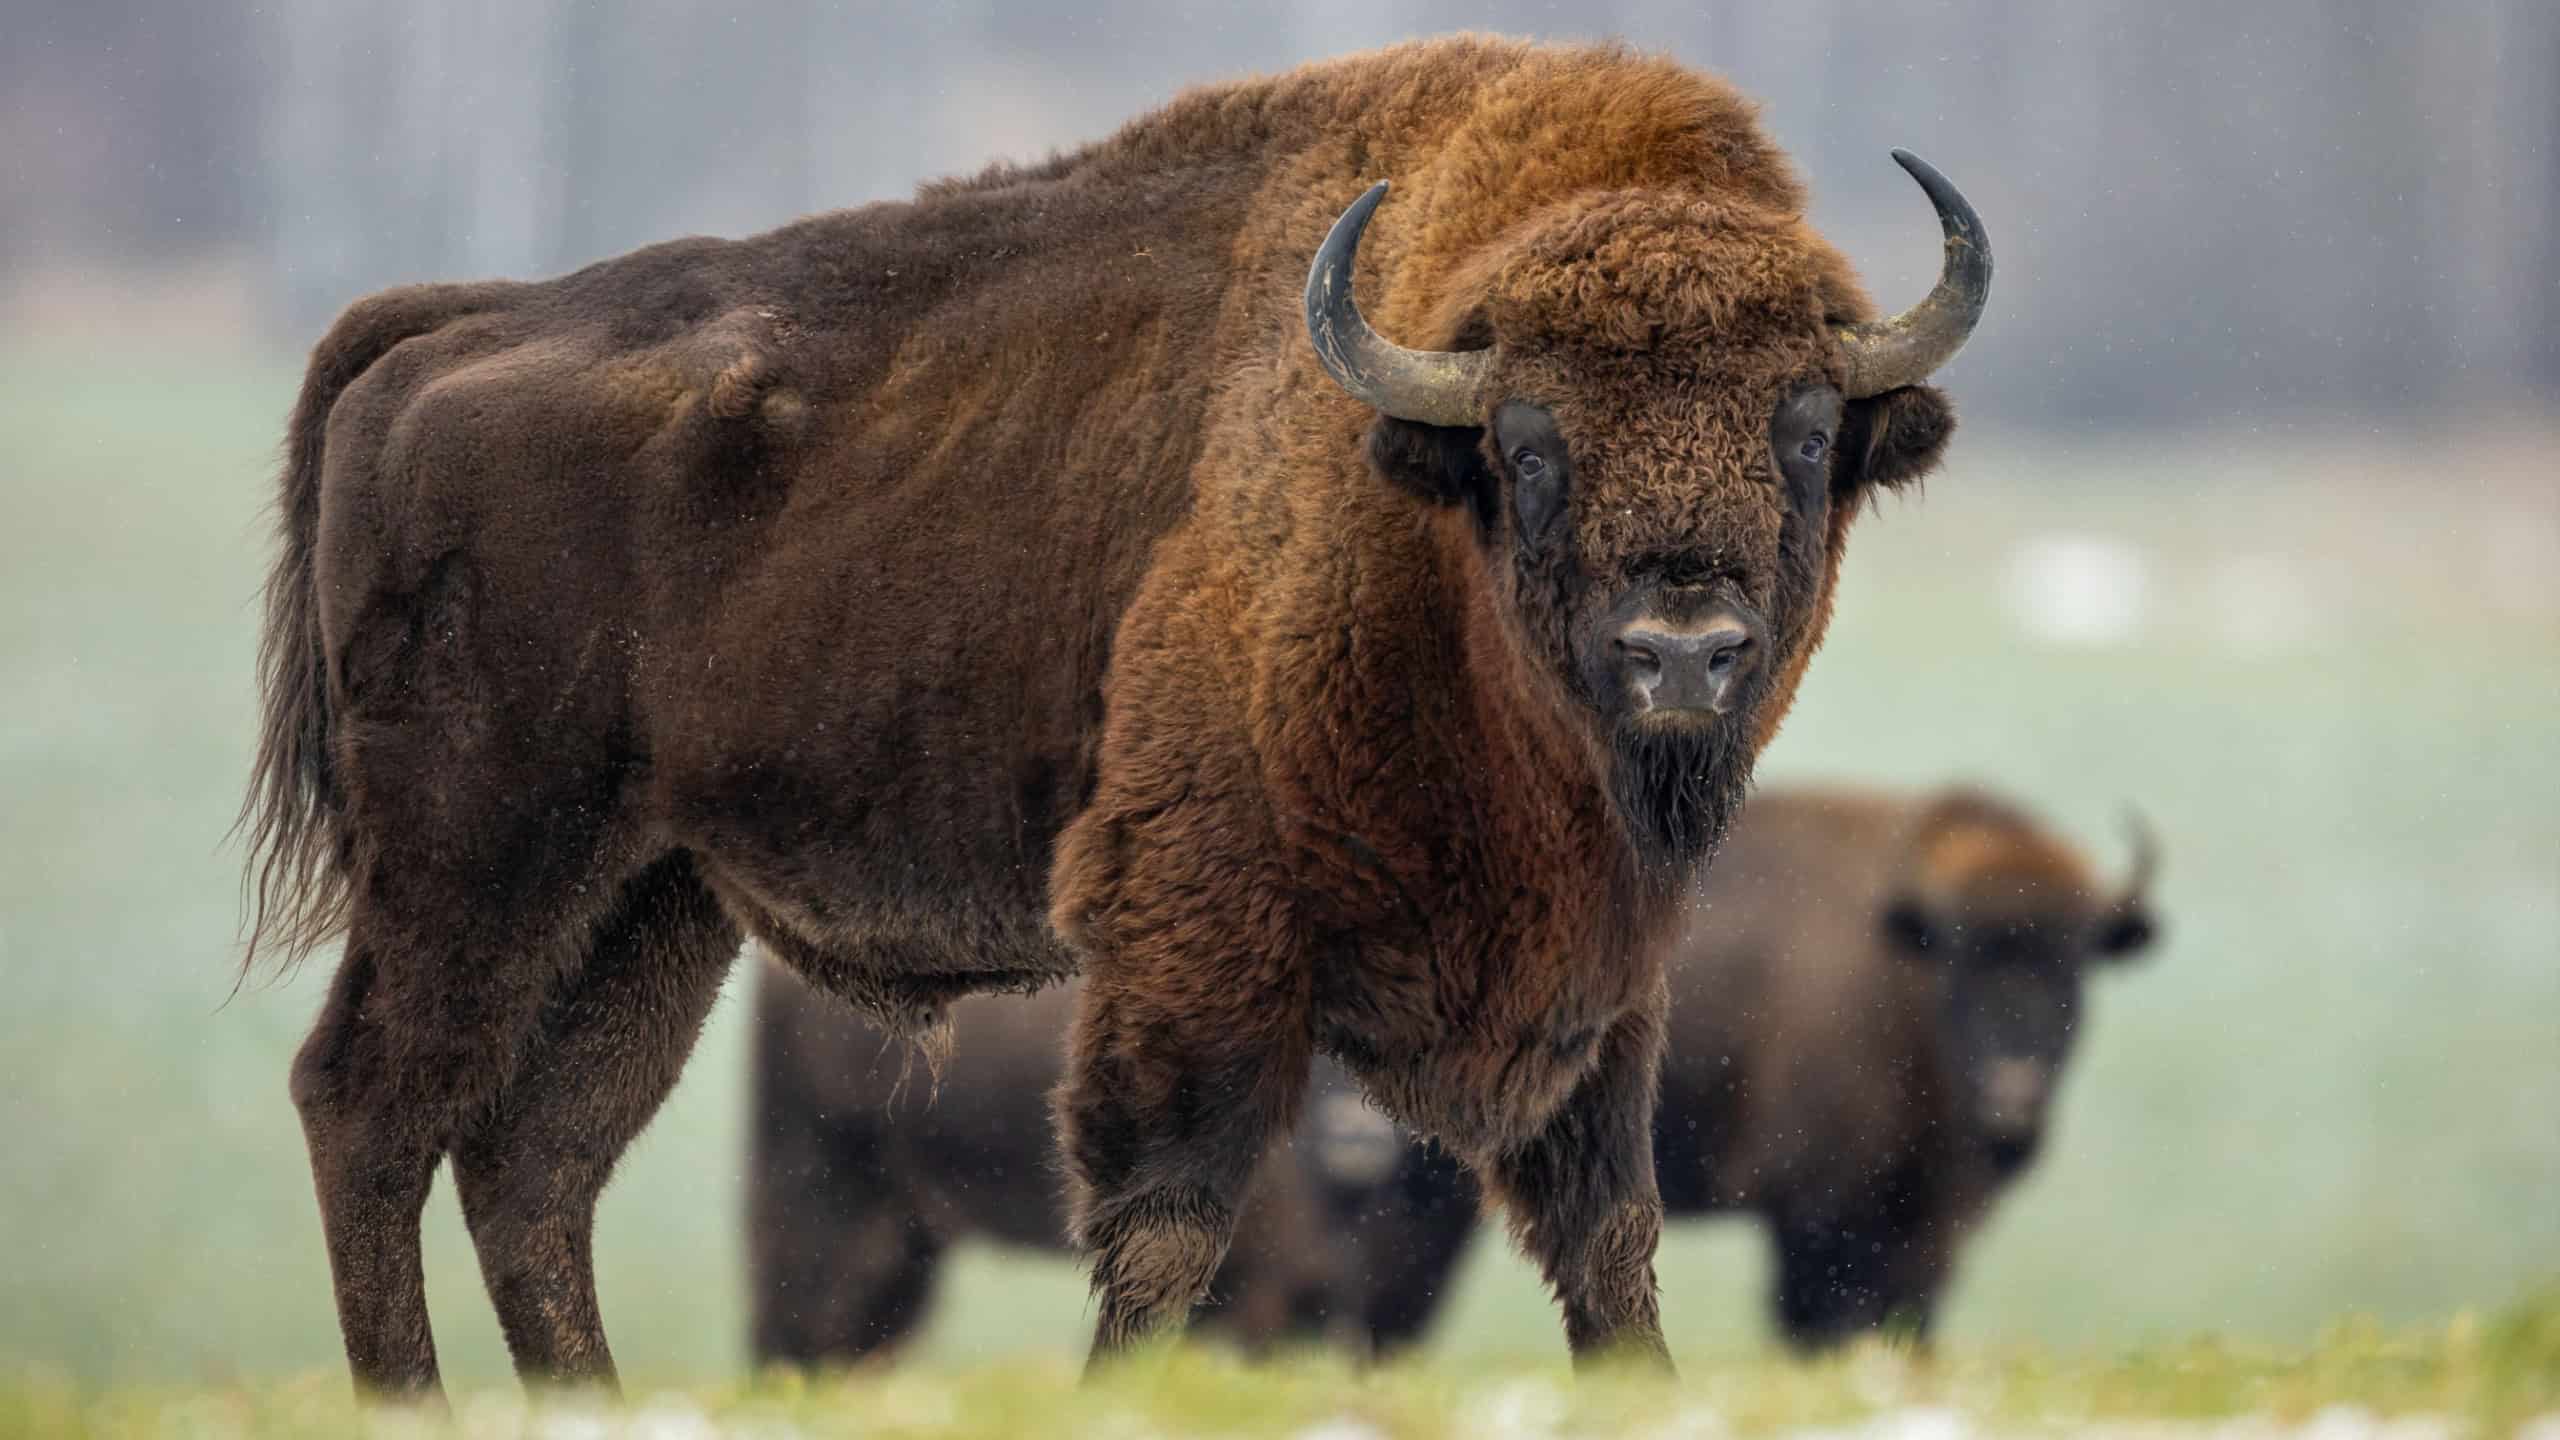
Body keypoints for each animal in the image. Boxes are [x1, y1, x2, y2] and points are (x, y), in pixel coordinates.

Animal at [238, 38, 1990, 1396]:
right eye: (1533, 438)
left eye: (1807, 427)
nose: (1681, 651)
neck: (1416, 502)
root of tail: (453, 323)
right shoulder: (1198, 927)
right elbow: (1167, 1218)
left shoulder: (1602, 968)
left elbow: (1604, 1228)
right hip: (480, 862)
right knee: (369, 1104)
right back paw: (410, 1398)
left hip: (650, 899)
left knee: (536, 1160)